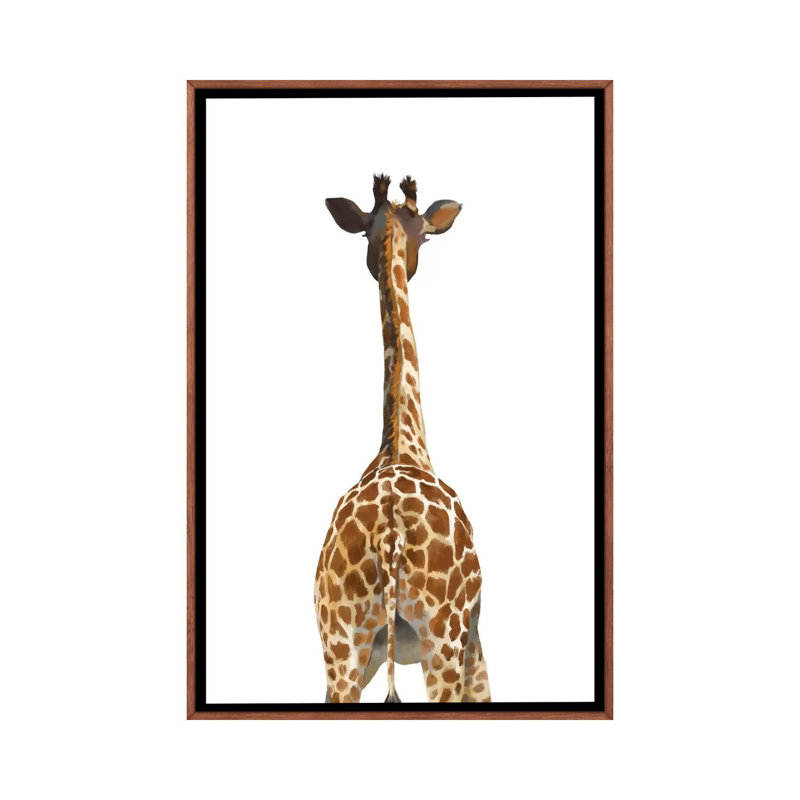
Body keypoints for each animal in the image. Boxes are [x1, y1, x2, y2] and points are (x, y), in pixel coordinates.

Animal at [314, 174, 491, 704]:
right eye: (426, 237)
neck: (404, 443)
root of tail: (389, 533)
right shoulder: (476, 640)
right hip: (443, 638)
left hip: (341, 648)